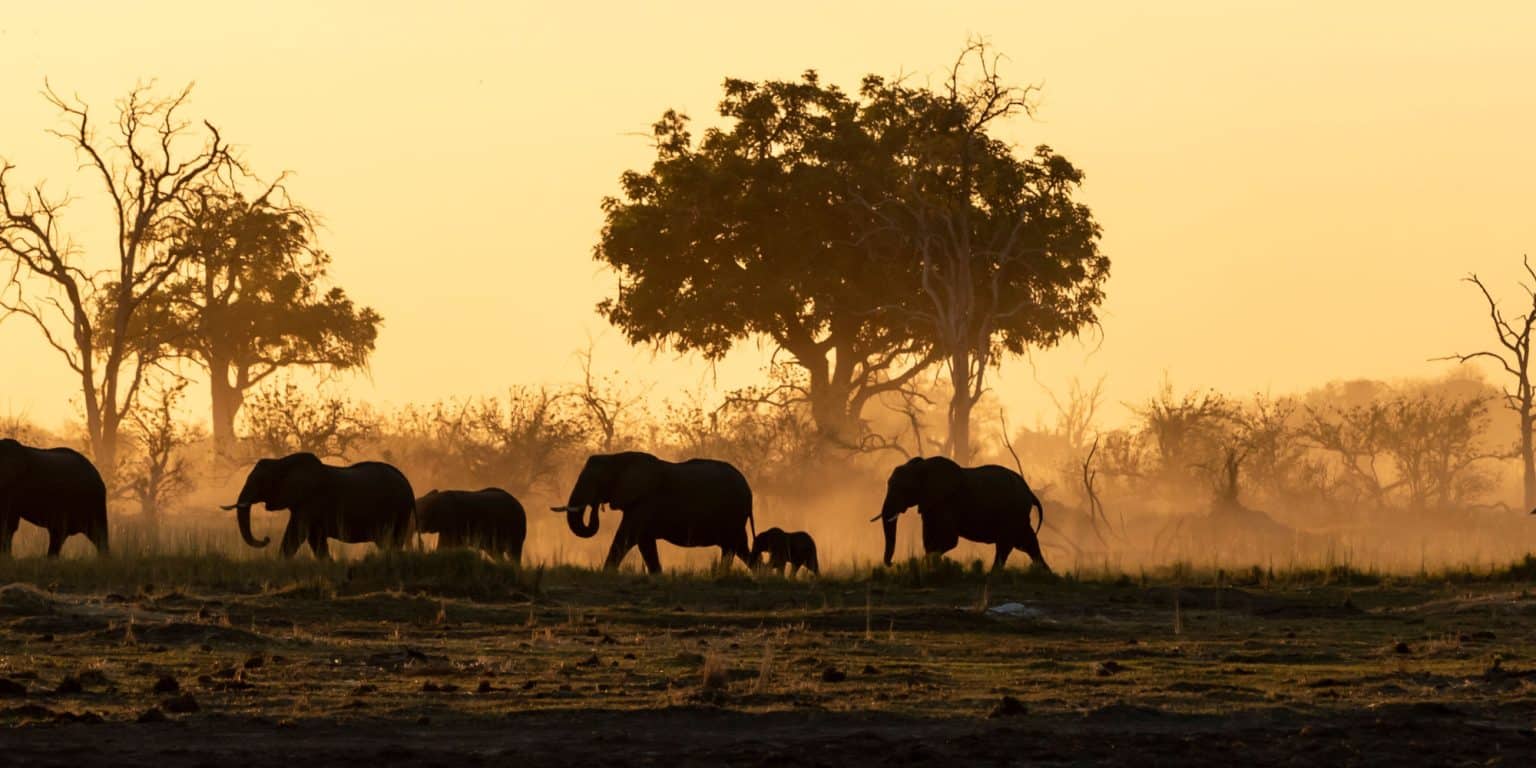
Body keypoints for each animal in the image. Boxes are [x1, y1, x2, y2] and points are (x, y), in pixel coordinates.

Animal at [222, 448, 414, 559]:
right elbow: (312, 537)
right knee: (386, 542)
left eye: (260, 481)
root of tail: (408, 483)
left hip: (400, 509)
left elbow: (298, 533)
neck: (282, 462)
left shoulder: (310, 501)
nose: (266, 539)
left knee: (393, 541)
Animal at [552, 451, 755, 574]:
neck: (617, 457)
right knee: (740, 548)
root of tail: (749, 489)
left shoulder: (644, 502)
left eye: (597, 481)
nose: (594, 505)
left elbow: (631, 538)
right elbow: (638, 541)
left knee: (732, 547)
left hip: (733, 514)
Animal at [872, 454, 1050, 571]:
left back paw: (993, 575)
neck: (921, 467)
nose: (892, 564)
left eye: (903, 488)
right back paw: (1046, 575)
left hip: (1013, 512)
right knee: (1027, 542)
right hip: (1018, 513)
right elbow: (928, 538)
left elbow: (949, 540)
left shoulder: (947, 501)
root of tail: (1029, 491)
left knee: (1006, 544)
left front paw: (923, 566)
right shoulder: (931, 503)